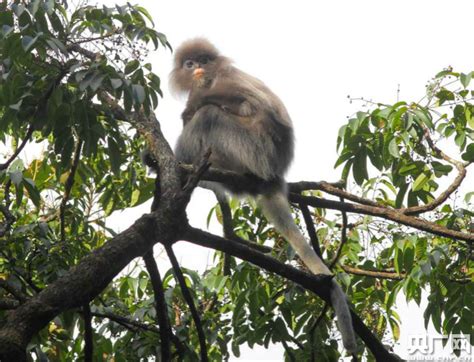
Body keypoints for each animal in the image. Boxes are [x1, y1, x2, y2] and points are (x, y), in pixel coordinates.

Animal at [168, 37, 358, 356]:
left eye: (204, 61)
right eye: (190, 63)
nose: (198, 69)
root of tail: (273, 176)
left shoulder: (227, 80)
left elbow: (251, 105)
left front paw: (192, 108)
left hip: (249, 148)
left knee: (210, 115)